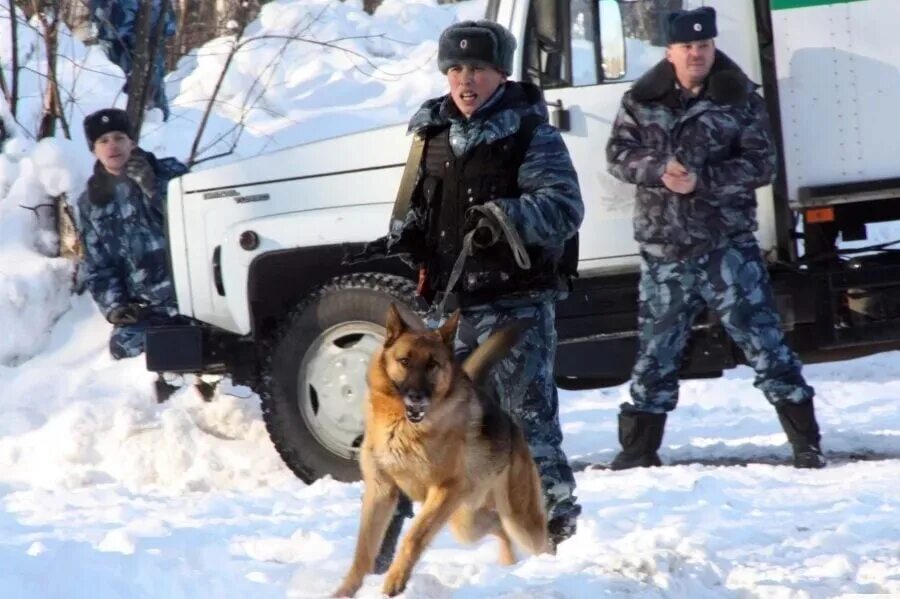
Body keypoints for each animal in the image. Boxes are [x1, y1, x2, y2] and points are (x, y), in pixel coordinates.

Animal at [332, 308, 548, 596]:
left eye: (432, 364)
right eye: (404, 361)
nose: (416, 396)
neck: (403, 427)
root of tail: (511, 426)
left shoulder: (444, 490)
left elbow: (413, 537)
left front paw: (395, 581)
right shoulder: (380, 491)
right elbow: (363, 551)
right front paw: (345, 591)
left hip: (516, 519)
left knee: (540, 541)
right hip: (466, 521)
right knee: (497, 526)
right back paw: (508, 563)